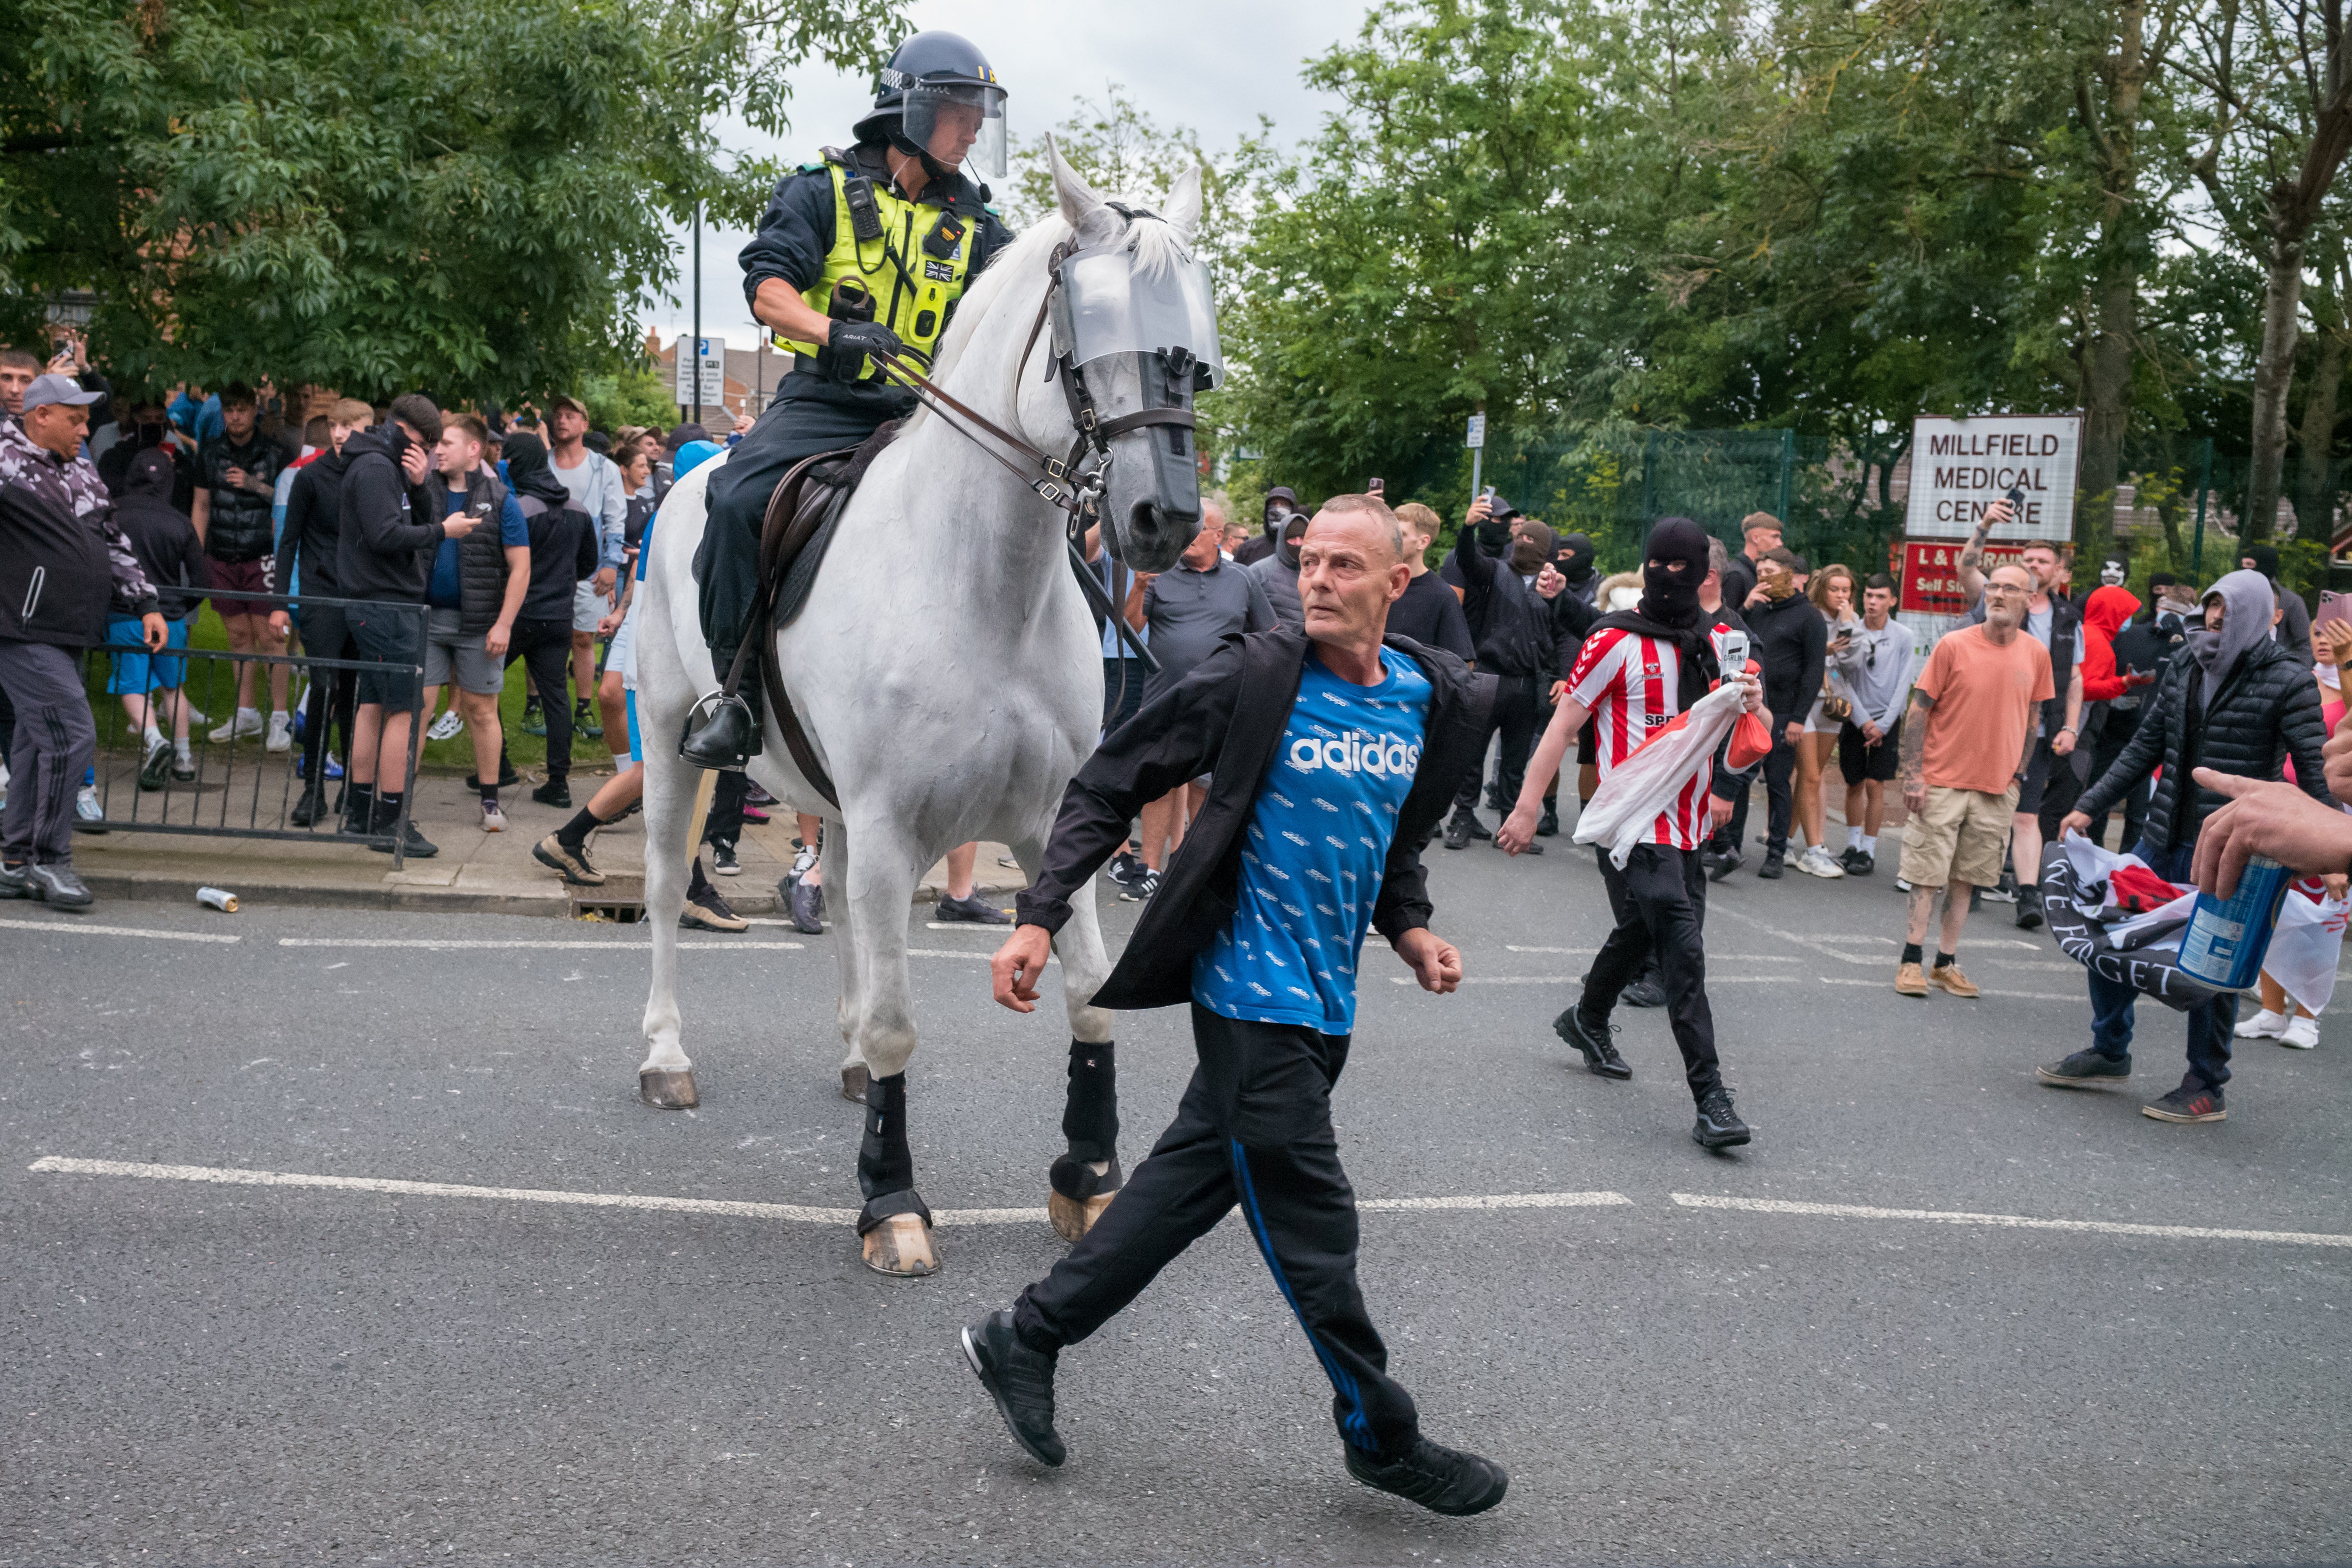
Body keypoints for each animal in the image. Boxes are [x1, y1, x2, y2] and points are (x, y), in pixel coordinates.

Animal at [630, 147, 1204, 1278]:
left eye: (1198, 353)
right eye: (1088, 330)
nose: (1165, 520)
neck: (982, 581)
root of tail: (685, 479)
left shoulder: (1050, 819)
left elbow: (1088, 995)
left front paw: (1085, 1176)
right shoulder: (897, 821)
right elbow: (903, 1022)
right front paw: (889, 1198)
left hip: (840, 805)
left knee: (844, 899)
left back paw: (848, 1057)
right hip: (678, 749)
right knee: (670, 886)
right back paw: (666, 1055)